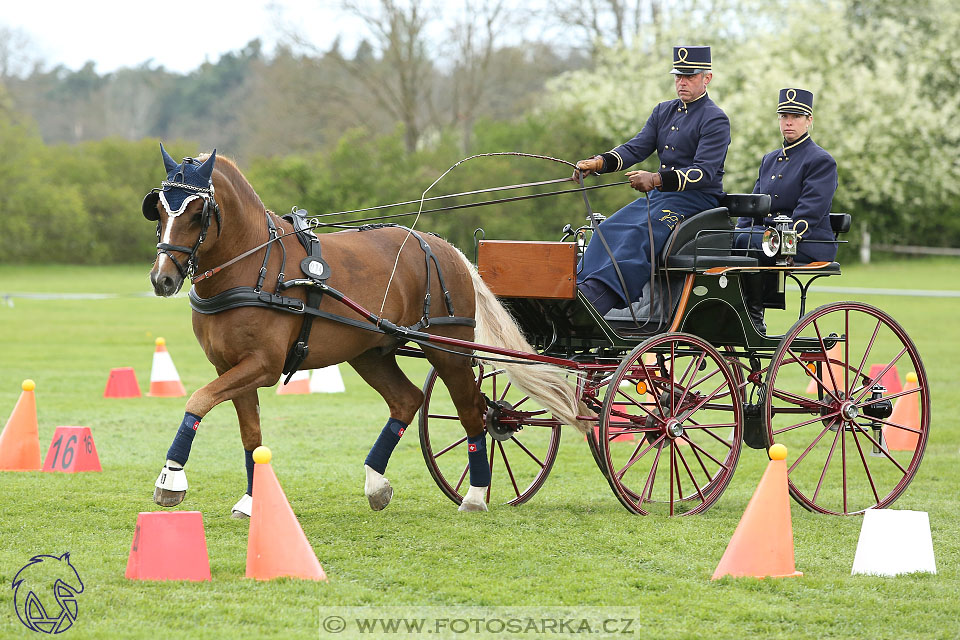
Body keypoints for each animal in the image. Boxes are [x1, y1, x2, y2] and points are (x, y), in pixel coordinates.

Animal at [140, 145, 580, 516]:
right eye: (159, 211)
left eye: (197, 214)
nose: (162, 279)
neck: (255, 266)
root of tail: (444, 247)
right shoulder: (231, 367)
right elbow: (251, 436)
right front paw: (252, 502)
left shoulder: (262, 366)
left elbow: (197, 400)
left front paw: (171, 479)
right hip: (370, 352)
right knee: (407, 400)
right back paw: (376, 484)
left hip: (448, 350)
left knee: (473, 411)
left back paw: (474, 496)